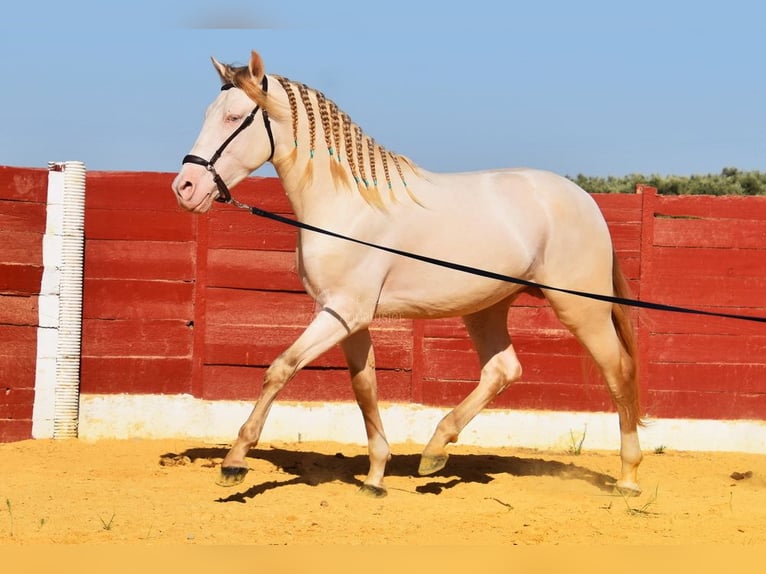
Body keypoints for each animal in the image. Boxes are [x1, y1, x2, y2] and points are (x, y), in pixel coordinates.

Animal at [172, 50, 644, 497]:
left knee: (618, 371)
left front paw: (234, 462)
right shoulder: (348, 318)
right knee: (503, 370)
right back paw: (435, 452)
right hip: (486, 308)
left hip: (580, 309)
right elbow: (364, 388)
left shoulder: (342, 313)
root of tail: (584, 199)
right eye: (209, 113)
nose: (185, 188)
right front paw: (376, 478)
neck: (346, 205)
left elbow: (280, 368)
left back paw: (628, 478)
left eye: (234, 117)